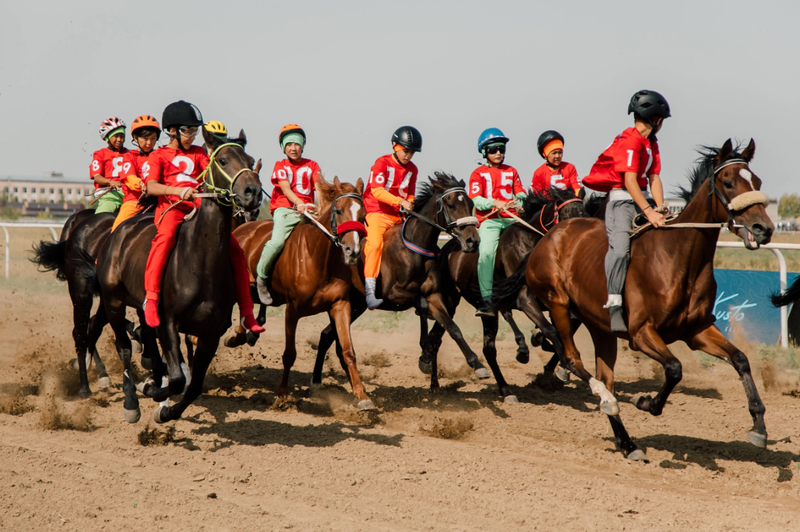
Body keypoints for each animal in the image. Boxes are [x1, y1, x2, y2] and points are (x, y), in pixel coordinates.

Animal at [91, 130, 260, 424]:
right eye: (223, 160)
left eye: (250, 160)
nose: (253, 193)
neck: (200, 265)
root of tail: (119, 230)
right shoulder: (167, 320)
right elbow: (179, 378)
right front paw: (152, 391)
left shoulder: (210, 333)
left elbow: (193, 386)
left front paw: (166, 409)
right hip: (113, 300)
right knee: (123, 346)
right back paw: (131, 401)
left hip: (141, 306)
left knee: (145, 337)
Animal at [230, 178, 370, 408]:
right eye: (339, 210)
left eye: (363, 215)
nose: (353, 252)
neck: (318, 258)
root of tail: (242, 229)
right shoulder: (292, 310)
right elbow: (289, 354)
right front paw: (282, 395)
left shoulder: (340, 305)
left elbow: (348, 351)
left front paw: (362, 396)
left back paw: (241, 336)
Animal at [312, 170, 482, 390]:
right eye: (451, 204)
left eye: (470, 204)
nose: (473, 241)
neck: (416, 248)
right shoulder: (393, 294)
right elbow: (421, 303)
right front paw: (425, 353)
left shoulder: (434, 296)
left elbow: (453, 327)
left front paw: (476, 363)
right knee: (328, 336)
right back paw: (318, 380)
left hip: (356, 305)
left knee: (326, 335)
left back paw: (323, 379)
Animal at [418, 187, 588, 400]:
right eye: (565, 214)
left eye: (585, 213)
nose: (577, 241)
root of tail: (445, 249)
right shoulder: (524, 300)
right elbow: (550, 329)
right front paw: (562, 363)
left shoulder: (552, 300)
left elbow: (563, 328)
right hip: (449, 301)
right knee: (442, 339)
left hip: (484, 312)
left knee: (482, 348)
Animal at [494, 139, 776, 460]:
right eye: (728, 182)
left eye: (757, 182)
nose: (763, 229)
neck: (679, 256)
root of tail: (546, 238)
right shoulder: (641, 333)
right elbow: (674, 368)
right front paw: (647, 402)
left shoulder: (697, 330)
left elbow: (740, 359)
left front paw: (758, 426)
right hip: (558, 303)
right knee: (572, 357)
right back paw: (602, 396)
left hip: (600, 328)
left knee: (603, 374)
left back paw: (627, 443)